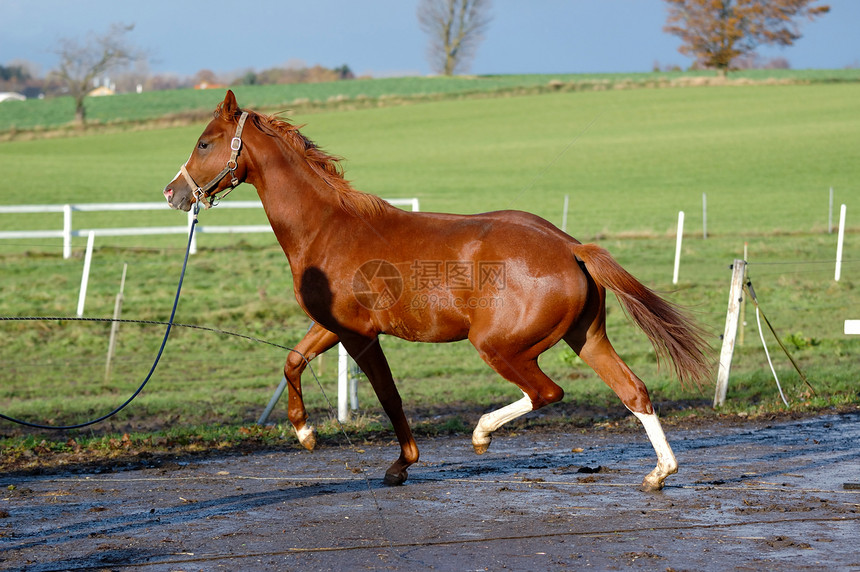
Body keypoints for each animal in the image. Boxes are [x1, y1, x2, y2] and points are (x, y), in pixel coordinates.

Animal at [165, 90, 708, 492]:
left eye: (206, 143)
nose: (173, 192)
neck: (329, 228)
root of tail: (570, 246)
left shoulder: (360, 334)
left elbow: (389, 396)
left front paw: (400, 464)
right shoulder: (333, 326)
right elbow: (293, 361)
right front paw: (305, 433)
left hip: (500, 346)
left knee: (546, 392)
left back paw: (482, 434)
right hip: (586, 338)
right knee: (633, 391)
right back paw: (660, 474)